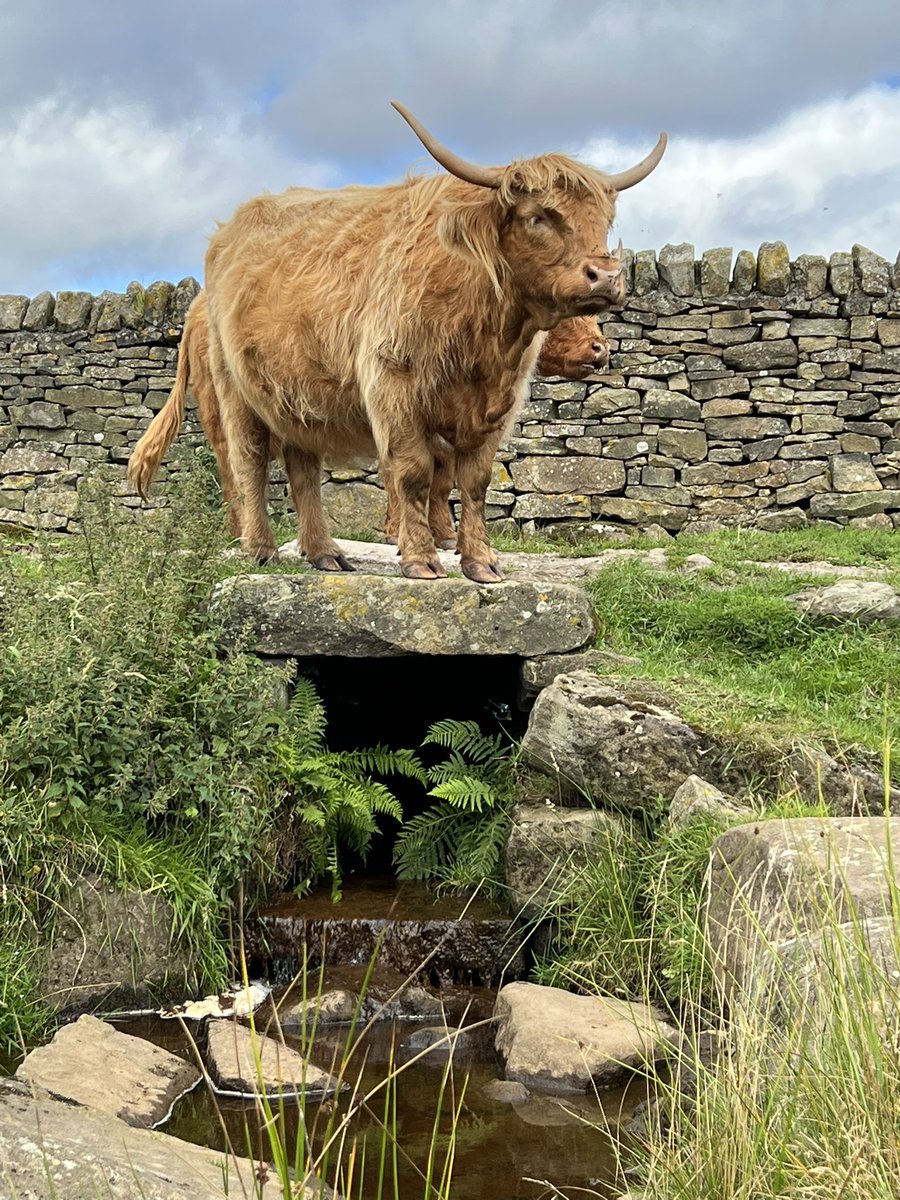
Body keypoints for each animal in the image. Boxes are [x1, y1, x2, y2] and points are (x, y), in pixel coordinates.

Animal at [133, 103, 667, 580]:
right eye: (538, 216)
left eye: (604, 221)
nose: (607, 277)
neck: (486, 336)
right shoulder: (395, 390)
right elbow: (412, 474)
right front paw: (420, 557)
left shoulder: (496, 407)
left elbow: (473, 481)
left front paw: (481, 562)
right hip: (236, 394)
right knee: (247, 463)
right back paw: (258, 547)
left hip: (296, 398)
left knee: (303, 471)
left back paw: (323, 552)